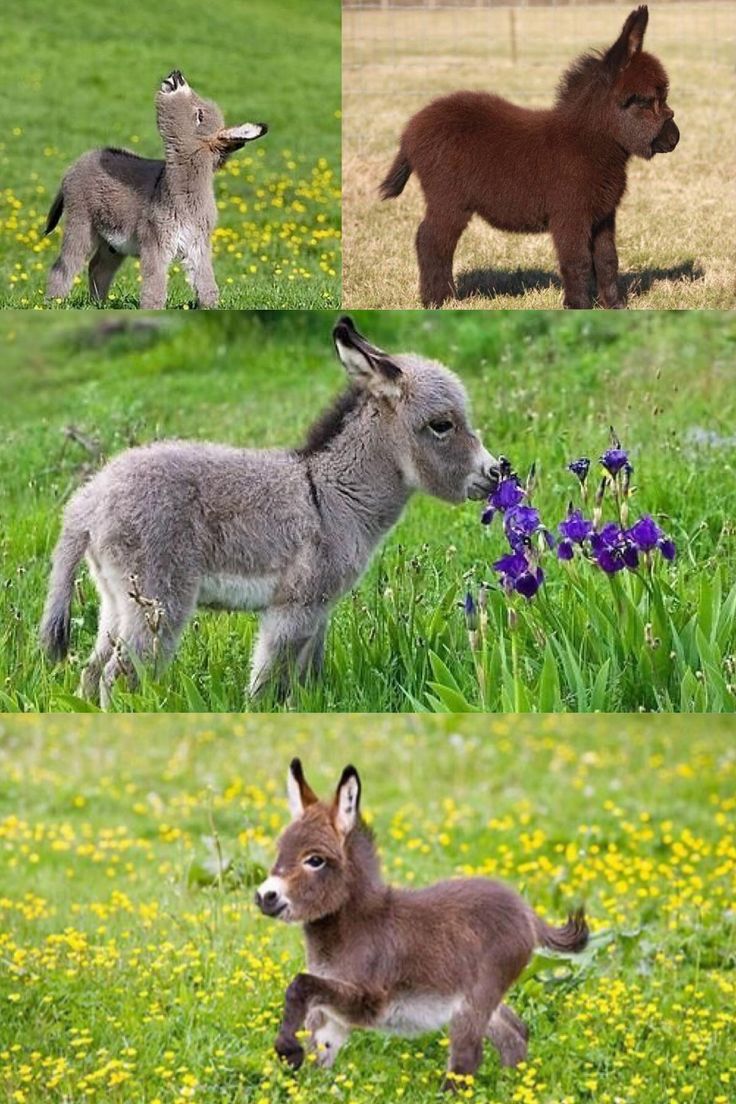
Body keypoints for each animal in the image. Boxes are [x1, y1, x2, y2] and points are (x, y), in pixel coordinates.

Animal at [40, 315, 500, 702]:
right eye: (441, 425)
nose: (497, 472)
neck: (332, 495)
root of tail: (89, 499)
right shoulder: (294, 608)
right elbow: (267, 681)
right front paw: (257, 713)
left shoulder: (318, 611)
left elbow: (306, 678)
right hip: (157, 600)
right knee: (117, 677)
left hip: (115, 600)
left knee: (92, 671)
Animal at [43, 71, 268, 306]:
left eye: (199, 115)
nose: (177, 74)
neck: (184, 194)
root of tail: (78, 162)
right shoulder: (155, 244)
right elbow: (155, 289)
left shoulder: (198, 245)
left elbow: (207, 286)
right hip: (81, 221)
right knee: (64, 266)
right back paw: (54, 303)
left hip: (112, 241)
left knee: (97, 267)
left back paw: (98, 304)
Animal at [256, 759, 591, 1086]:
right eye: (279, 852)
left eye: (315, 860)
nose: (264, 896)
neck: (352, 927)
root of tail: (526, 911)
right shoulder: (332, 1009)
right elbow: (320, 1046)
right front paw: (305, 1080)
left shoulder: (369, 1001)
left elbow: (299, 984)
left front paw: (287, 1051)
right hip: (483, 999)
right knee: (515, 1032)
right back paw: (518, 1087)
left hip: (476, 997)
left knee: (468, 1057)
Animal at [384, 5, 684, 306]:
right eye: (644, 101)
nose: (674, 139)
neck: (588, 143)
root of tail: (412, 128)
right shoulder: (570, 214)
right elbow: (577, 261)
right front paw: (578, 306)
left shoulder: (602, 215)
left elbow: (608, 261)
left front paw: (614, 305)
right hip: (449, 200)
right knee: (432, 242)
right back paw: (438, 300)